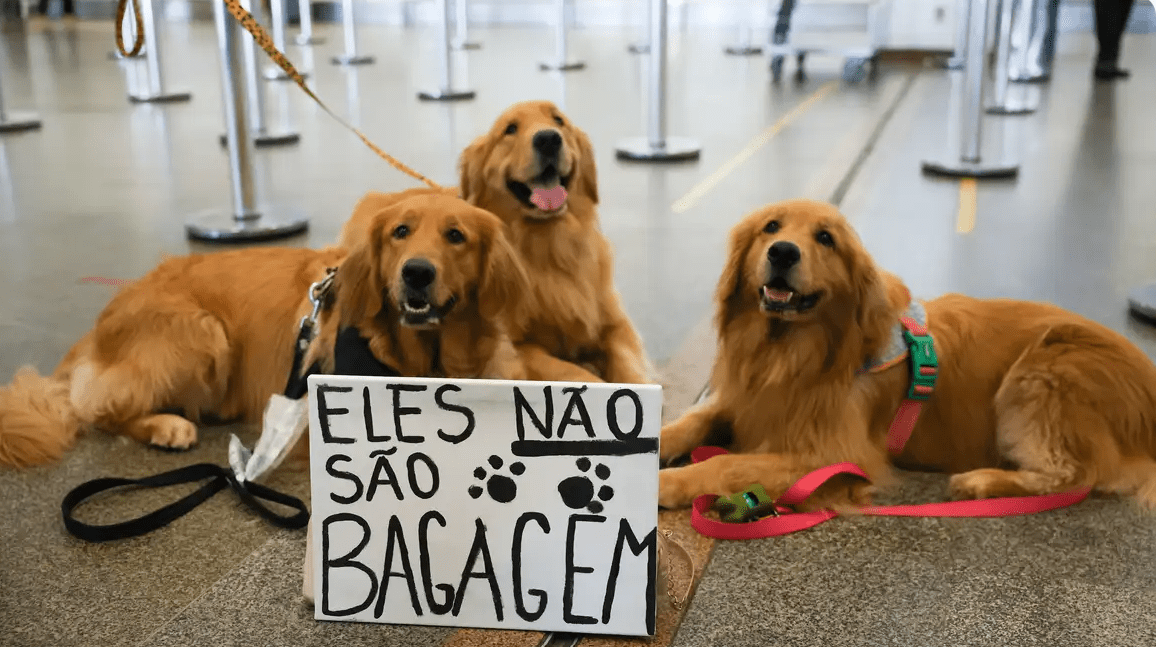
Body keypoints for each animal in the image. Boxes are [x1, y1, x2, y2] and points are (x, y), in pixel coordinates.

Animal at [0, 191, 529, 464]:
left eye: (456, 236)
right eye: (401, 231)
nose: (416, 272)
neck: (427, 359)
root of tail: (97, 327)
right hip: (202, 333)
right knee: (98, 409)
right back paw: (166, 425)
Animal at [337, 99, 656, 385]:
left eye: (559, 120)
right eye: (510, 129)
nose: (549, 139)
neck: (548, 247)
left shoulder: (614, 326)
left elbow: (630, 367)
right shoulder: (516, 346)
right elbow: (575, 373)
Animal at [656, 199, 1156, 512]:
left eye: (825, 238)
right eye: (771, 227)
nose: (782, 252)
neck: (789, 351)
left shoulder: (834, 454)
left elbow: (726, 463)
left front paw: (667, 483)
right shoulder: (744, 400)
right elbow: (691, 422)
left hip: (1044, 369)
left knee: (1075, 474)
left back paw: (982, 481)